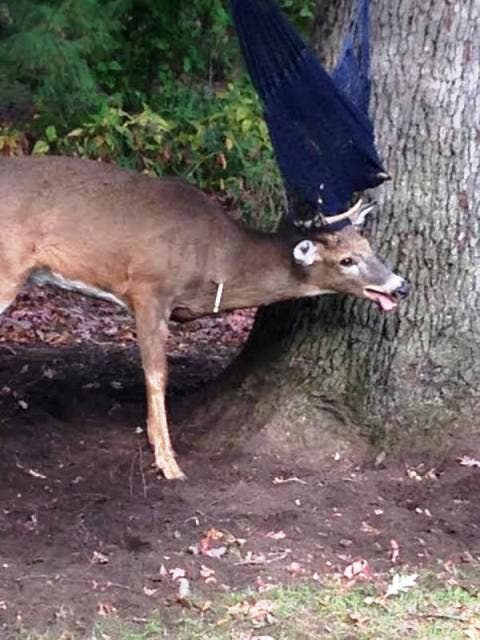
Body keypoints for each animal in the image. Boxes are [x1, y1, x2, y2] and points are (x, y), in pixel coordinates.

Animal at [0, 156, 409, 479]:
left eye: (369, 247)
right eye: (346, 261)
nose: (400, 285)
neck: (215, 259)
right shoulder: (149, 290)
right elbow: (157, 374)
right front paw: (168, 462)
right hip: (8, 268)